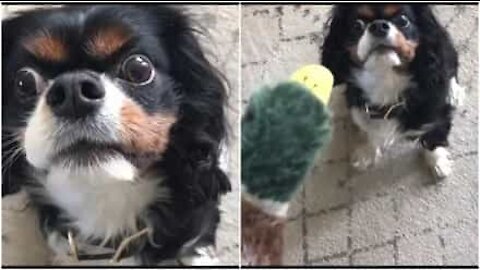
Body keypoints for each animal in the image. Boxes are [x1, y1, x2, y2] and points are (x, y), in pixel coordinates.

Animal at [320, 4, 464, 179]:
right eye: (357, 25)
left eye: (403, 20)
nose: (378, 26)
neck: (386, 79)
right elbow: (369, 128)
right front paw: (367, 153)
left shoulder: (436, 115)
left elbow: (433, 137)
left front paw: (438, 163)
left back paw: (454, 93)